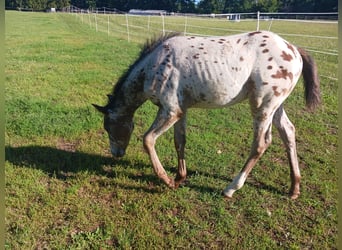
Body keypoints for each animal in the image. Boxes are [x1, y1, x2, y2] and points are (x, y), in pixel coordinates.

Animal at [92, 30, 320, 199]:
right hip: (276, 105)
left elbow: (148, 140)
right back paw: (294, 189)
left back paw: (230, 188)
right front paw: (180, 178)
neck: (154, 65)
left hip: (262, 105)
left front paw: (167, 181)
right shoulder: (180, 110)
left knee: (261, 144)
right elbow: (180, 141)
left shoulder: (170, 110)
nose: (116, 154)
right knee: (288, 132)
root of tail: (294, 49)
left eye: (109, 127)